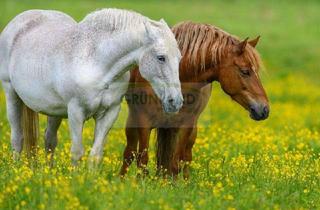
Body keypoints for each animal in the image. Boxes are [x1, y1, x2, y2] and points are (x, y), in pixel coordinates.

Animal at [0, 9, 184, 165]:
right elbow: (77, 152)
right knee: (17, 139)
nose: (175, 102)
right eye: (161, 57)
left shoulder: (109, 113)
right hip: (11, 94)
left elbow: (95, 154)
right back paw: (17, 169)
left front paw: (90, 180)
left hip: (54, 111)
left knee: (49, 141)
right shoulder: (76, 111)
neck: (97, 62)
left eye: (179, 57)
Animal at [119, 21, 268, 178]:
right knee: (129, 153)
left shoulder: (186, 124)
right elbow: (141, 159)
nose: (264, 109)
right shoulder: (144, 121)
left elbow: (176, 163)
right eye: (245, 71)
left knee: (186, 157)